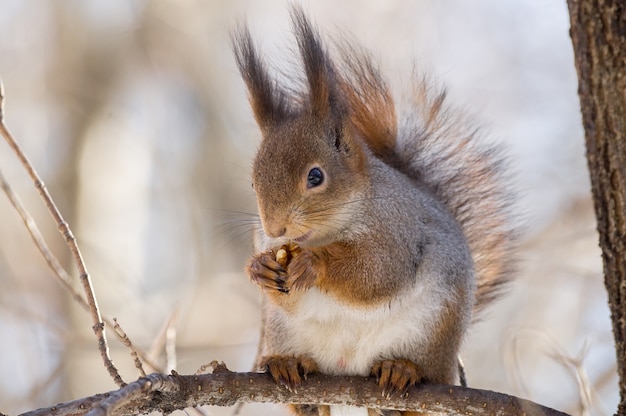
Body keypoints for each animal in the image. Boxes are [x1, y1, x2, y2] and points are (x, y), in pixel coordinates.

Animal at [232, 6, 516, 416]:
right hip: (281, 331)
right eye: (254, 184)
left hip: (434, 330)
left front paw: (315, 264)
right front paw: (260, 269)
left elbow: (376, 274)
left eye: (315, 176)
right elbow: (288, 294)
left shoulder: (398, 231)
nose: (275, 228)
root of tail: (348, 367)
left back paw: (401, 369)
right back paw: (289, 365)